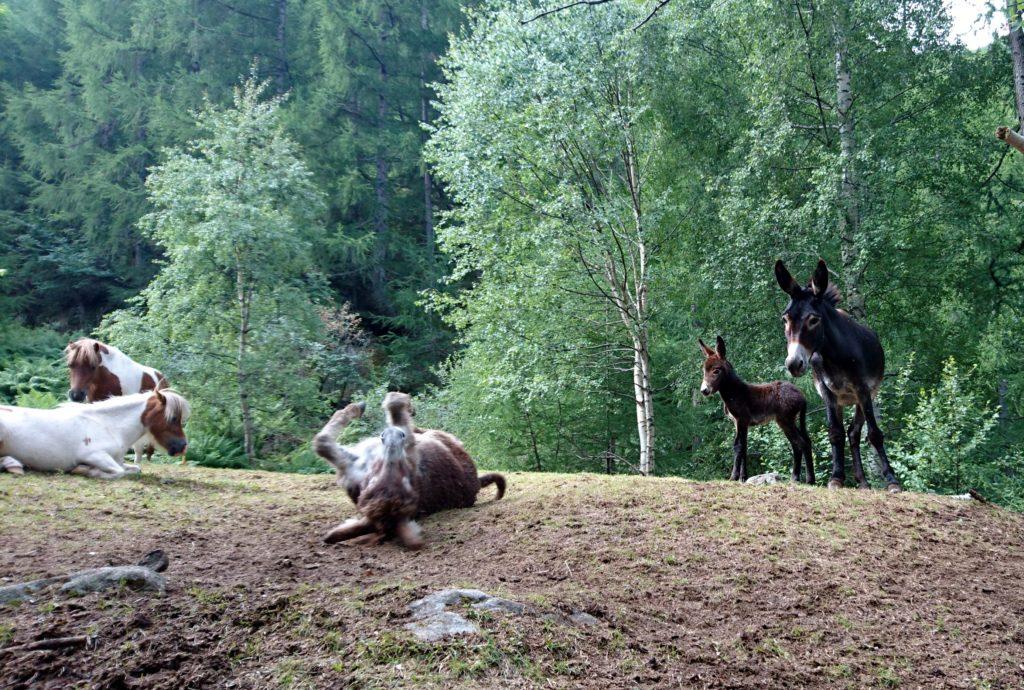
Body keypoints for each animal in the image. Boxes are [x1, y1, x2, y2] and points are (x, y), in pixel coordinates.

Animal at [0, 386, 190, 479]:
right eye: (173, 418)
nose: (183, 446)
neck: (109, 427)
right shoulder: (95, 456)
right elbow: (120, 473)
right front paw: (84, 470)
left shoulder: (118, 461)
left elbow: (135, 469)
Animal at [696, 335, 815, 481]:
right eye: (704, 371)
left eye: (716, 371)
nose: (704, 391)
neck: (735, 392)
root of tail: (801, 395)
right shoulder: (739, 423)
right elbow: (743, 447)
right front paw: (743, 477)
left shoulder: (742, 420)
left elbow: (738, 446)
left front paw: (734, 477)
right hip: (787, 421)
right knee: (800, 444)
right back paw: (796, 479)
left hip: (786, 420)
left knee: (801, 443)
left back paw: (808, 480)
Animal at [778, 257, 901, 489]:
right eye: (785, 319)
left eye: (813, 320)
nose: (793, 364)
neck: (834, 355)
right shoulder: (827, 391)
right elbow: (835, 433)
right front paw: (836, 478)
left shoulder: (862, 389)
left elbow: (874, 434)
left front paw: (892, 480)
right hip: (842, 399)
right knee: (849, 432)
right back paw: (861, 481)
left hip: (865, 395)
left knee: (855, 432)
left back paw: (865, 482)